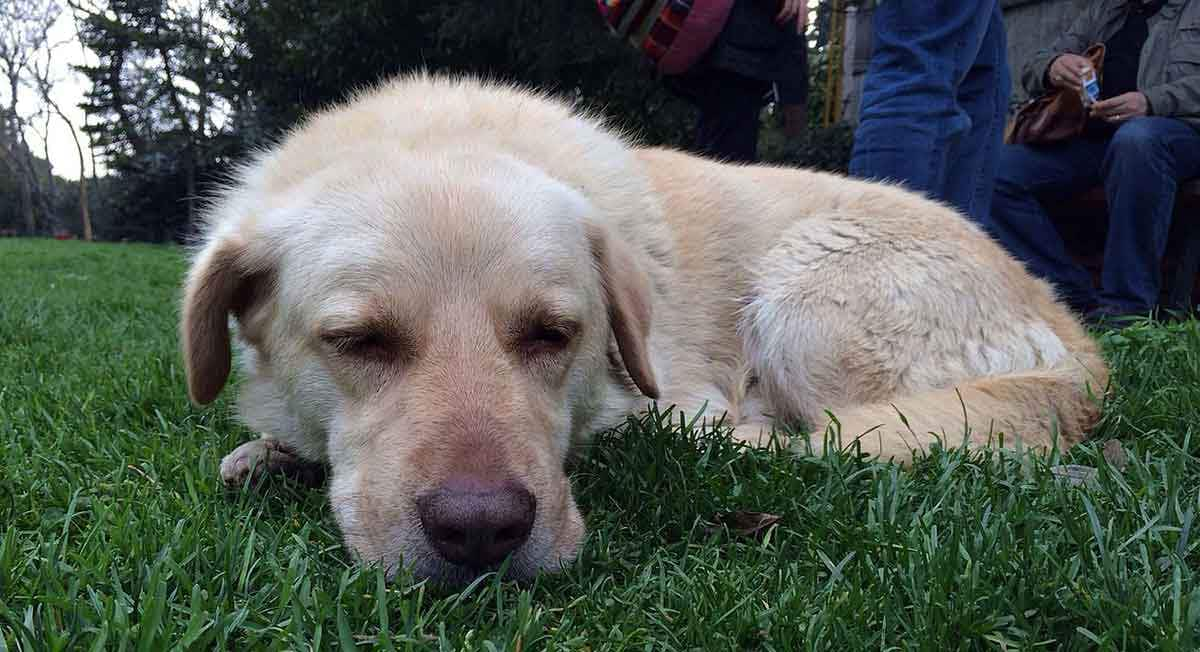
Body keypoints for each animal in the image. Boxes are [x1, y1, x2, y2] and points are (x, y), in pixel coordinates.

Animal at [177, 75, 1104, 585]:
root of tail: (1076, 333)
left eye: (552, 334)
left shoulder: (670, 390)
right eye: (359, 341)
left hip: (803, 294)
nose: (481, 532)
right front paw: (268, 455)